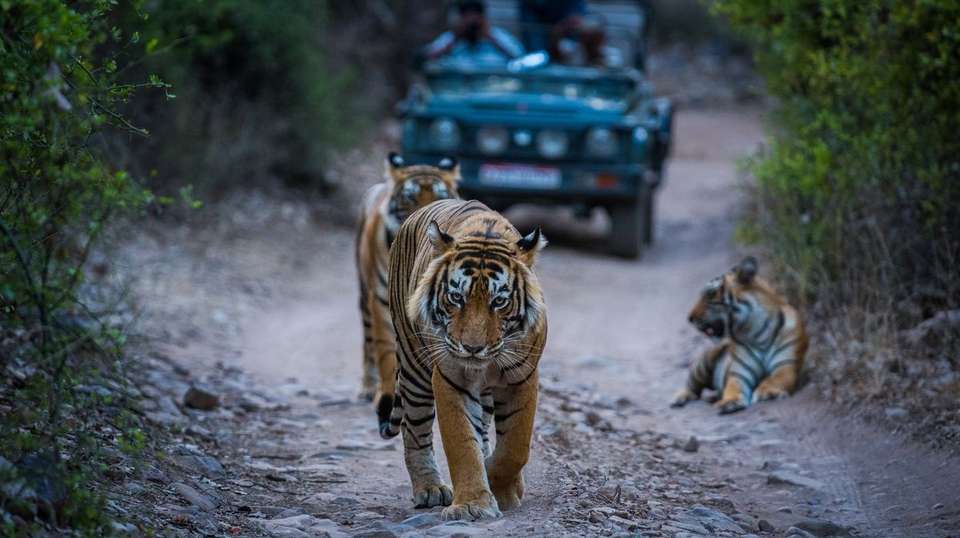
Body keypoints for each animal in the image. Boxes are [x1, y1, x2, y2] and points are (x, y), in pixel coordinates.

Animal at [356, 153, 460, 403]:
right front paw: (385, 393)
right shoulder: (381, 299)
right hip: (365, 294)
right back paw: (367, 387)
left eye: (440, 196)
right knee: (368, 341)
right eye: (411, 197)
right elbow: (384, 350)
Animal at [380, 198, 548, 521]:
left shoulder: (523, 377)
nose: (472, 348)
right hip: (414, 367)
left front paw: (502, 487)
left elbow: (515, 446)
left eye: (499, 301)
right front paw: (473, 504)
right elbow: (462, 444)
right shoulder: (451, 377)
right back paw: (430, 489)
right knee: (415, 430)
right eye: (456, 298)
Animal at [671, 256, 808, 414]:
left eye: (711, 293)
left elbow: (775, 379)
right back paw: (678, 398)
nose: (690, 318)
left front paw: (768, 392)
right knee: (692, 386)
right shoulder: (739, 373)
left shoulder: (785, 365)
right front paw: (729, 402)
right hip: (704, 362)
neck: (757, 332)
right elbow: (733, 386)